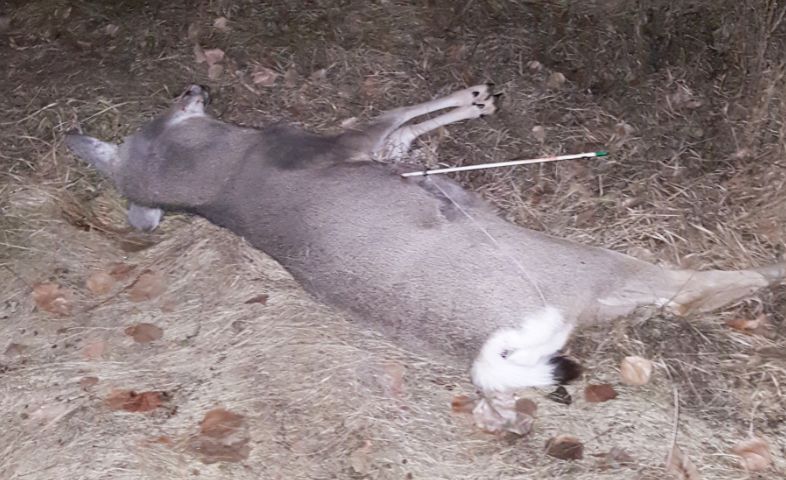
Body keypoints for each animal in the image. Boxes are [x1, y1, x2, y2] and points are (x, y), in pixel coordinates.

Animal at [65, 84, 785, 433]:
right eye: (172, 108)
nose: (193, 84)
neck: (221, 174)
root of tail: (491, 351)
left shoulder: (380, 153)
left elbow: (409, 130)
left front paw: (474, 105)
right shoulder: (343, 141)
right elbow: (397, 112)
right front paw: (476, 94)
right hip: (577, 266)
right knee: (685, 287)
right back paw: (769, 271)